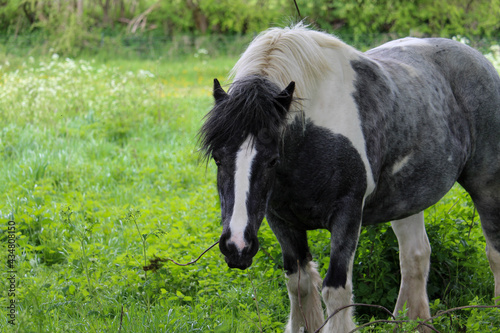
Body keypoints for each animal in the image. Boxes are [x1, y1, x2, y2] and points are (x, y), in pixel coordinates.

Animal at [198, 24, 500, 332]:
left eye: (272, 160)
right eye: (218, 158)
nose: (237, 247)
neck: (311, 139)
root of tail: (480, 60)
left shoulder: (347, 214)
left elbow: (335, 289)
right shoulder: (281, 221)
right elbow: (299, 284)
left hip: (487, 186)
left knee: (494, 252)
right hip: (407, 200)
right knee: (415, 255)